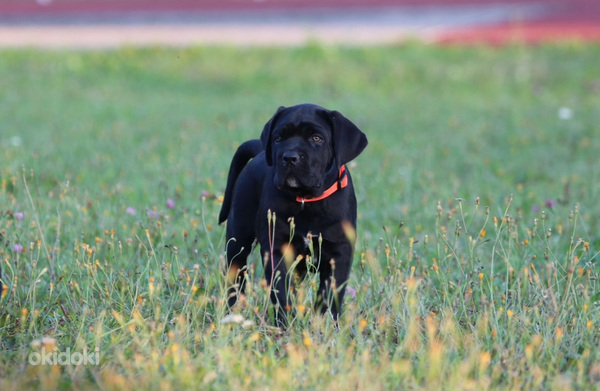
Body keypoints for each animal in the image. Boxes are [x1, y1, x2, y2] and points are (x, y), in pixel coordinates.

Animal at [218, 103, 368, 324]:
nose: (289, 157)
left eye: (317, 138)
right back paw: (232, 313)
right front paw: (285, 324)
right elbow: (282, 292)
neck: (307, 201)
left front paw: (326, 324)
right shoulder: (277, 249)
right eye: (278, 138)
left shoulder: (339, 252)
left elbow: (330, 294)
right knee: (235, 279)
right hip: (238, 241)